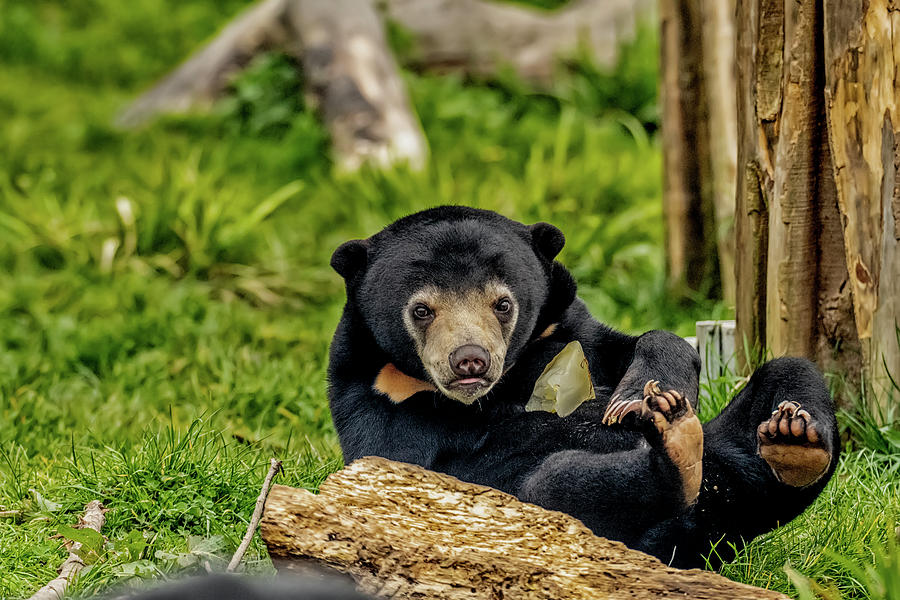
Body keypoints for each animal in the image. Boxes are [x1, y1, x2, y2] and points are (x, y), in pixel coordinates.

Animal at [326, 206, 840, 568]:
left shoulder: (569, 328)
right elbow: (403, 466)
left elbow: (643, 344)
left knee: (789, 376)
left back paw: (792, 441)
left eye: (503, 304)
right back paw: (677, 452)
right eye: (422, 310)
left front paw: (641, 400)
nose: (470, 360)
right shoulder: (376, 397)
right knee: (560, 481)